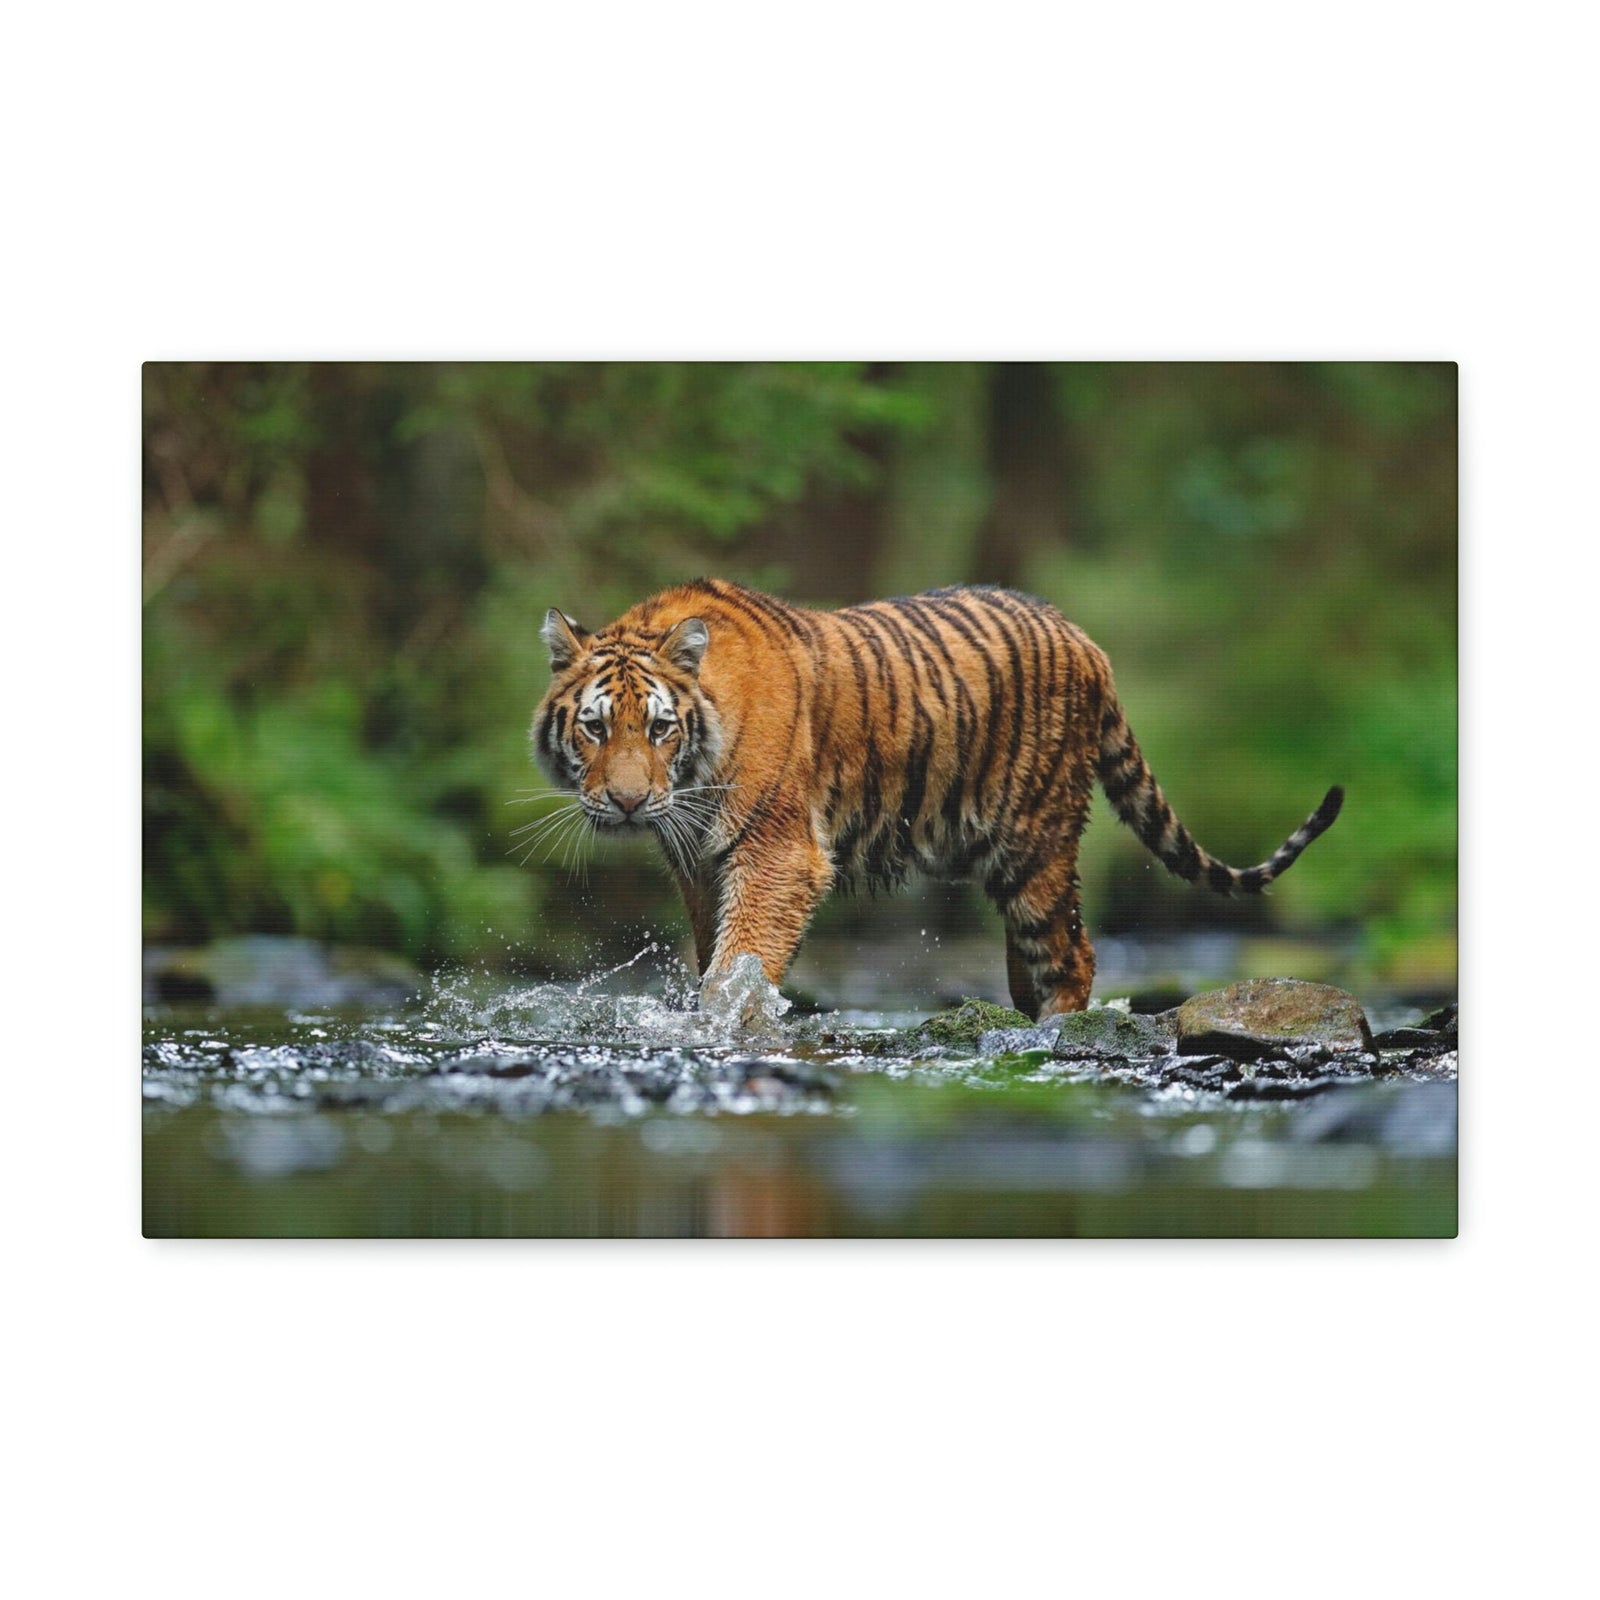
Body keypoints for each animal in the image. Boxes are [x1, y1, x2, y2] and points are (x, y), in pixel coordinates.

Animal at [531, 578, 1343, 1021]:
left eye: (659, 728)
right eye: (596, 728)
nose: (628, 803)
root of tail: (1085, 639)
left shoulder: (777, 854)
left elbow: (741, 963)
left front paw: (726, 1024)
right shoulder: (700, 865)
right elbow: (715, 957)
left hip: (1035, 843)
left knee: (1072, 953)